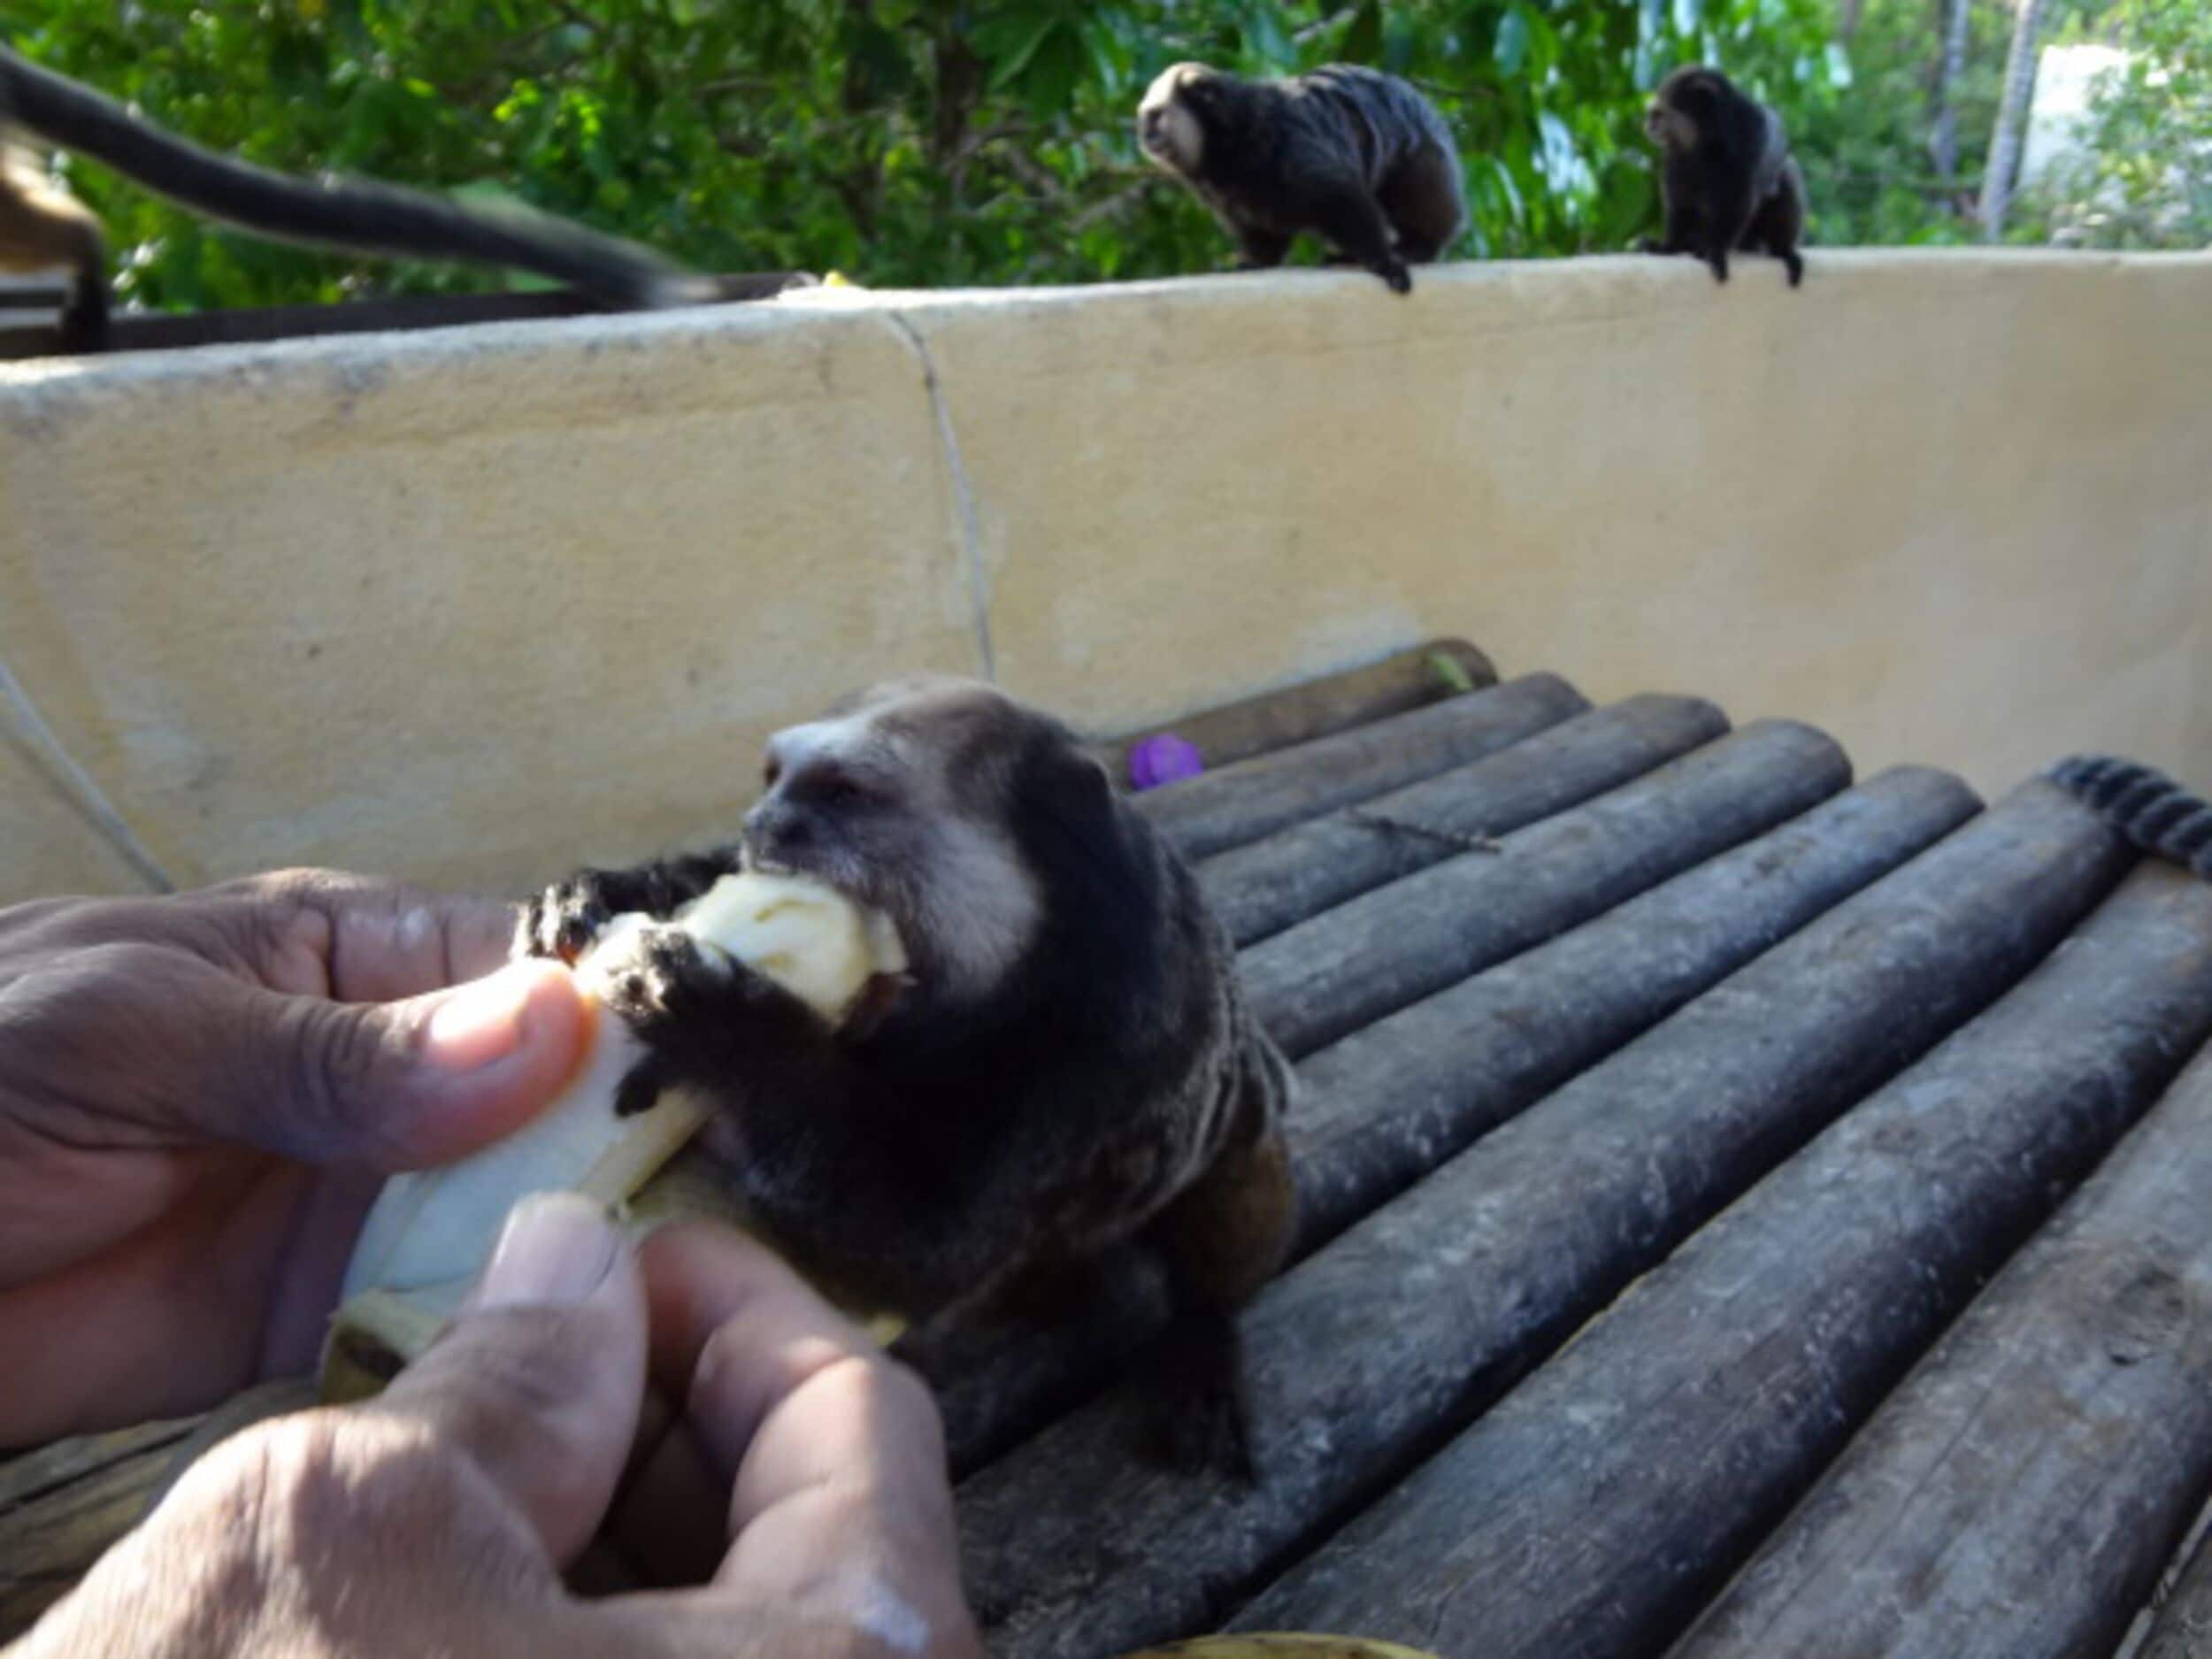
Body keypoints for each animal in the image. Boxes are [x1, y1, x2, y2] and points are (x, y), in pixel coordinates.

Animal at [519, 674, 1298, 1473]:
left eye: (842, 794)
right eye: (772, 780)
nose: (760, 822)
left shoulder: (1111, 1041)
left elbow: (924, 1248)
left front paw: (726, 1030)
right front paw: (604, 891)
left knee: (1231, 1184)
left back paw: (1203, 1328)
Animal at [1136, 61, 1466, 295]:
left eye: (1156, 117)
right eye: (1145, 118)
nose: (1146, 134)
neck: (1229, 144)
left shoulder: (1291, 148)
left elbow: (1341, 195)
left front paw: (1384, 261)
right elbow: (1263, 234)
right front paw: (1254, 261)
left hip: (1423, 147)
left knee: (1413, 184)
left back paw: (1418, 245)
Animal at [1640, 64, 1805, 288]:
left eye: (1657, 116)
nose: (1648, 124)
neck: (1706, 146)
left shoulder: (1751, 142)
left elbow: (1737, 203)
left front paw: (1714, 250)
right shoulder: (1674, 160)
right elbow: (1680, 204)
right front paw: (1671, 246)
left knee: (1786, 173)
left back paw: (1782, 250)